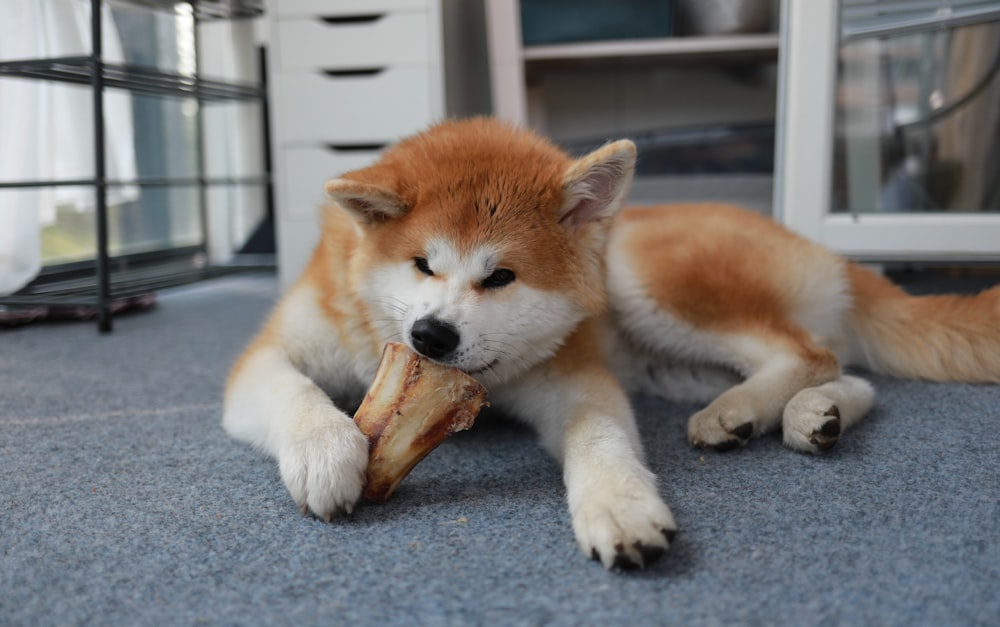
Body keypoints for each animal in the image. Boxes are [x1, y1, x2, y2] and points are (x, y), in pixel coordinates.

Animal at [227, 118, 1000, 576]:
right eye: (423, 264)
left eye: (500, 277)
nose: (431, 336)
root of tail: (831, 252)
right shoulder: (267, 358)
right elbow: (296, 393)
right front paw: (326, 450)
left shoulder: (575, 377)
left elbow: (600, 441)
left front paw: (620, 507)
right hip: (670, 359)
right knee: (849, 372)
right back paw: (810, 415)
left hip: (641, 277)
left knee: (808, 351)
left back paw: (748, 410)